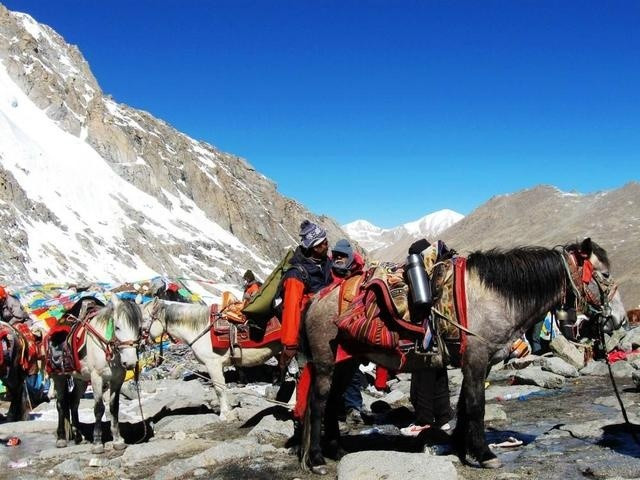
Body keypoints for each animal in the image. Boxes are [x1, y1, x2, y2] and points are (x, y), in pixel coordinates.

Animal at [52, 296, 142, 454]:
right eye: (117, 327)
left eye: (139, 329)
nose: (130, 362)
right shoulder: (97, 378)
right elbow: (99, 408)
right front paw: (98, 443)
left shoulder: (117, 379)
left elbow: (114, 407)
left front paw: (118, 440)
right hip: (59, 376)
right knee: (61, 403)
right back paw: (61, 438)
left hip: (81, 379)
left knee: (74, 401)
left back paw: (78, 436)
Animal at [141, 298, 282, 418]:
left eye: (144, 319)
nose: (141, 343)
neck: (201, 329)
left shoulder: (213, 365)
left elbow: (219, 389)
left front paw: (224, 415)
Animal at [302, 238, 628, 470]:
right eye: (605, 274)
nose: (619, 319)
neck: (495, 295)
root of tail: (317, 298)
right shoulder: (476, 358)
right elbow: (476, 406)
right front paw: (484, 454)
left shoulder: (480, 363)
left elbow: (463, 405)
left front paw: (461, 448)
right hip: (326, 362)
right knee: (318, 403)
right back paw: (316, 459)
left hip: (347, 363)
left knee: (332, 402)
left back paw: (336, 450)